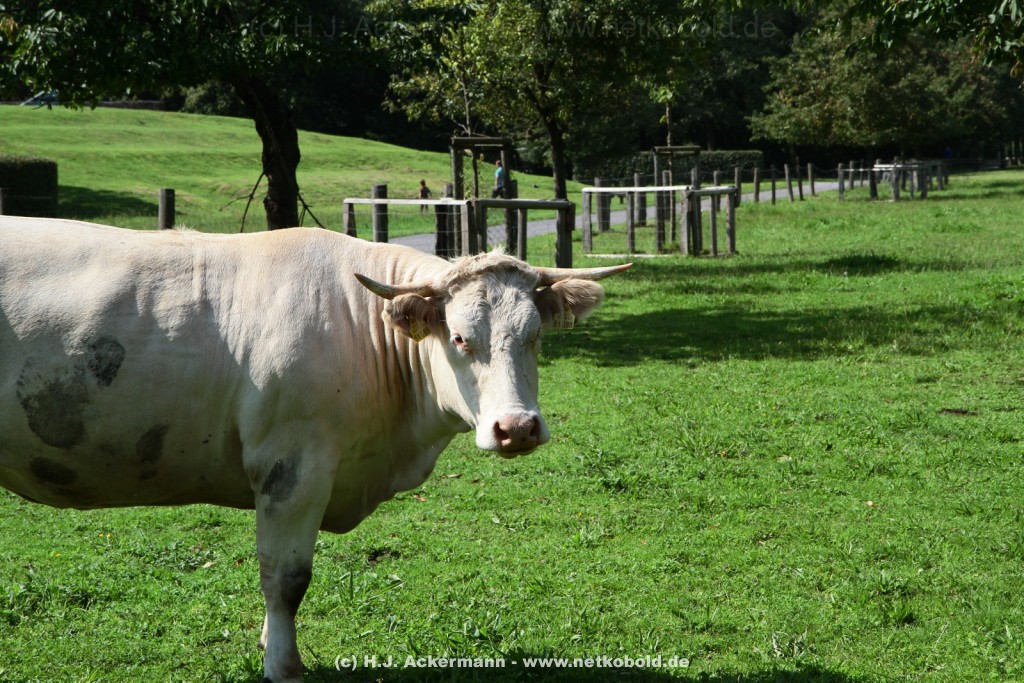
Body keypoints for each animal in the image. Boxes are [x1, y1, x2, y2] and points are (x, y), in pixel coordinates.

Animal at [0, 217, 630, 682]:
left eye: (535, 336)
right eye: (458, 338)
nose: (516, 427)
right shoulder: (294, 464)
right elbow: (286, 577)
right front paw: (283, 663)